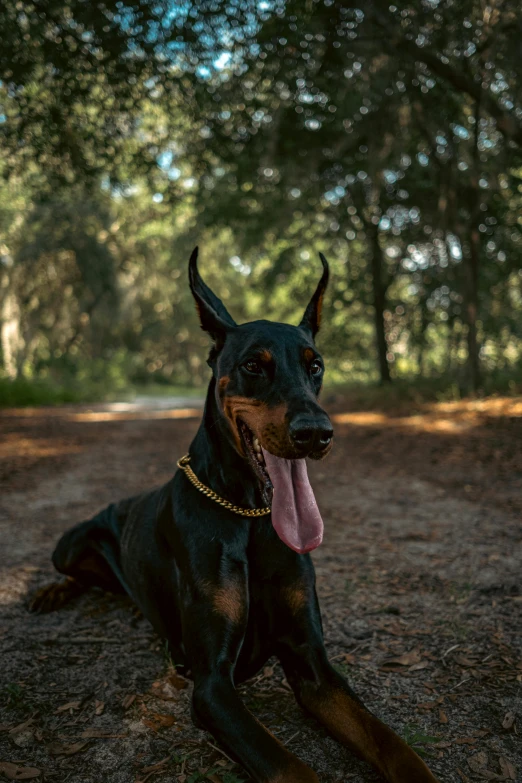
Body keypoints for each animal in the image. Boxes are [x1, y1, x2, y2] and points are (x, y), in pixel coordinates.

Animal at [31, 253, 438, 783]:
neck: (249, 514)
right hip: (71, 543)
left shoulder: (314, 666)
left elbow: (393, 746)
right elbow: (290, 770)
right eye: (252, 366)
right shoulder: (212, 685)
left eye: (316, 365)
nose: (316, 433)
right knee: (72, 570)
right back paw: (50, 591)